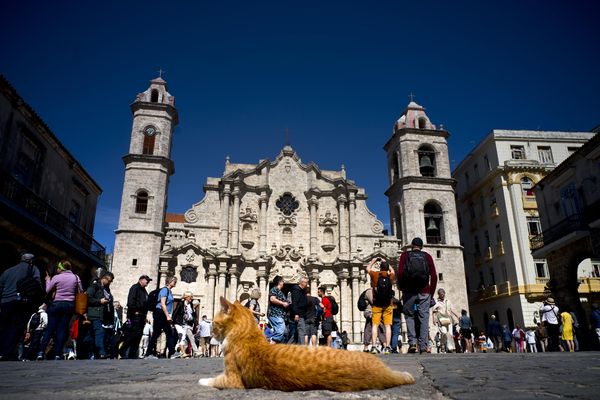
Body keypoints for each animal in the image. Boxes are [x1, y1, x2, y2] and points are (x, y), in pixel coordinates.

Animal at [199, 296, 414, 392]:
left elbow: (213, 380)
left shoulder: (233, 381)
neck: (247, 334)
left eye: (215, 323)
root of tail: (382, 376)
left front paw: (202, 380)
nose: (211, 332)